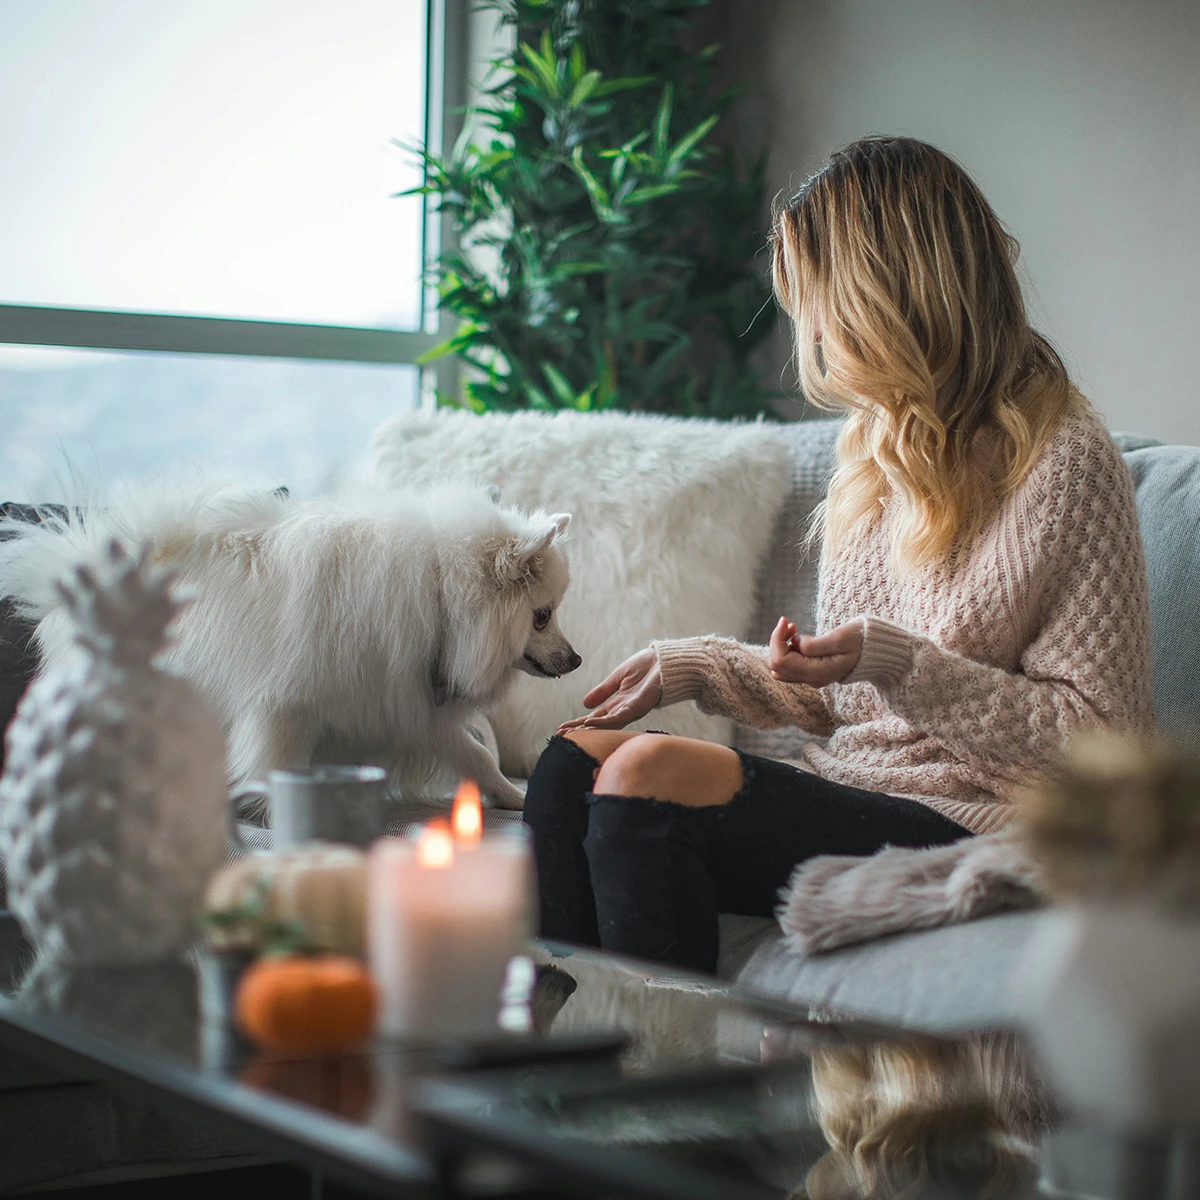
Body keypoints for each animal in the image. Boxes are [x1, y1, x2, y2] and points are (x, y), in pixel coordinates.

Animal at [0, 482, 580, 811]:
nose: (576, 660)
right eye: (542, 616)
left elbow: (476, 754)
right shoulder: (288, 708)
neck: (437, 593)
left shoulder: (407, 704)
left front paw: (511, 797)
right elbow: (276, 763)